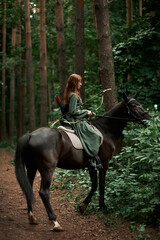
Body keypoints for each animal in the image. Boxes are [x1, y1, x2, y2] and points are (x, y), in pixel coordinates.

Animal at [14, 92, 150, 231]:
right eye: (134, 105)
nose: (148, 118)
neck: (106, 130)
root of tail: (31, 135)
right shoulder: (104, 163)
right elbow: (100, 184)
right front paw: (99, 207)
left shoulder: (92, 166)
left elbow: (95, 184)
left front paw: (86, 206)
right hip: (47, 170)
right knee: (44, 192)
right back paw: (55, 222)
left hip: (32, 167)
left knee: (28, 187)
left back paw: (32, 217)